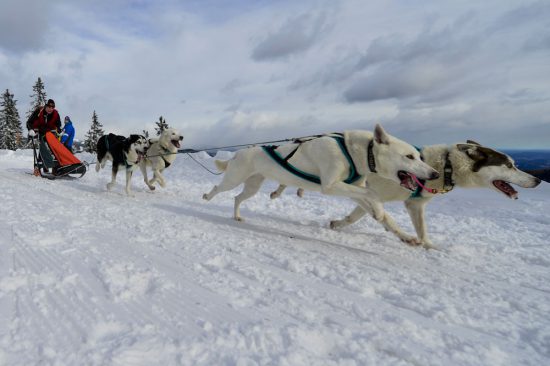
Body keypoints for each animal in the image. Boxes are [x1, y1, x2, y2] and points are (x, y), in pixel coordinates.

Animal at [205, 124, 442, 230]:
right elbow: (372, 192)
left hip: (252, 186)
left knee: (237, 198)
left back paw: (236, 216)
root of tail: (238, 152)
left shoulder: (349, 187)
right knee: (219, 189)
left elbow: (366, 195)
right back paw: (207, 196)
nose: (435, 173)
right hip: (234, 179)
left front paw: (379, 213)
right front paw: (379, 209)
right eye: (409, 156)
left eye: (419, 156)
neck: (356, 151)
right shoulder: (330, 185)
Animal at [272, 142, 544, 247]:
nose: (538, 180)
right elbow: (377, 216)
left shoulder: (415, 206)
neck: (443, 167)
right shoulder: (371, 194)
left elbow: (422, 232)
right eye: (509, 165)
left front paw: (429, 246)